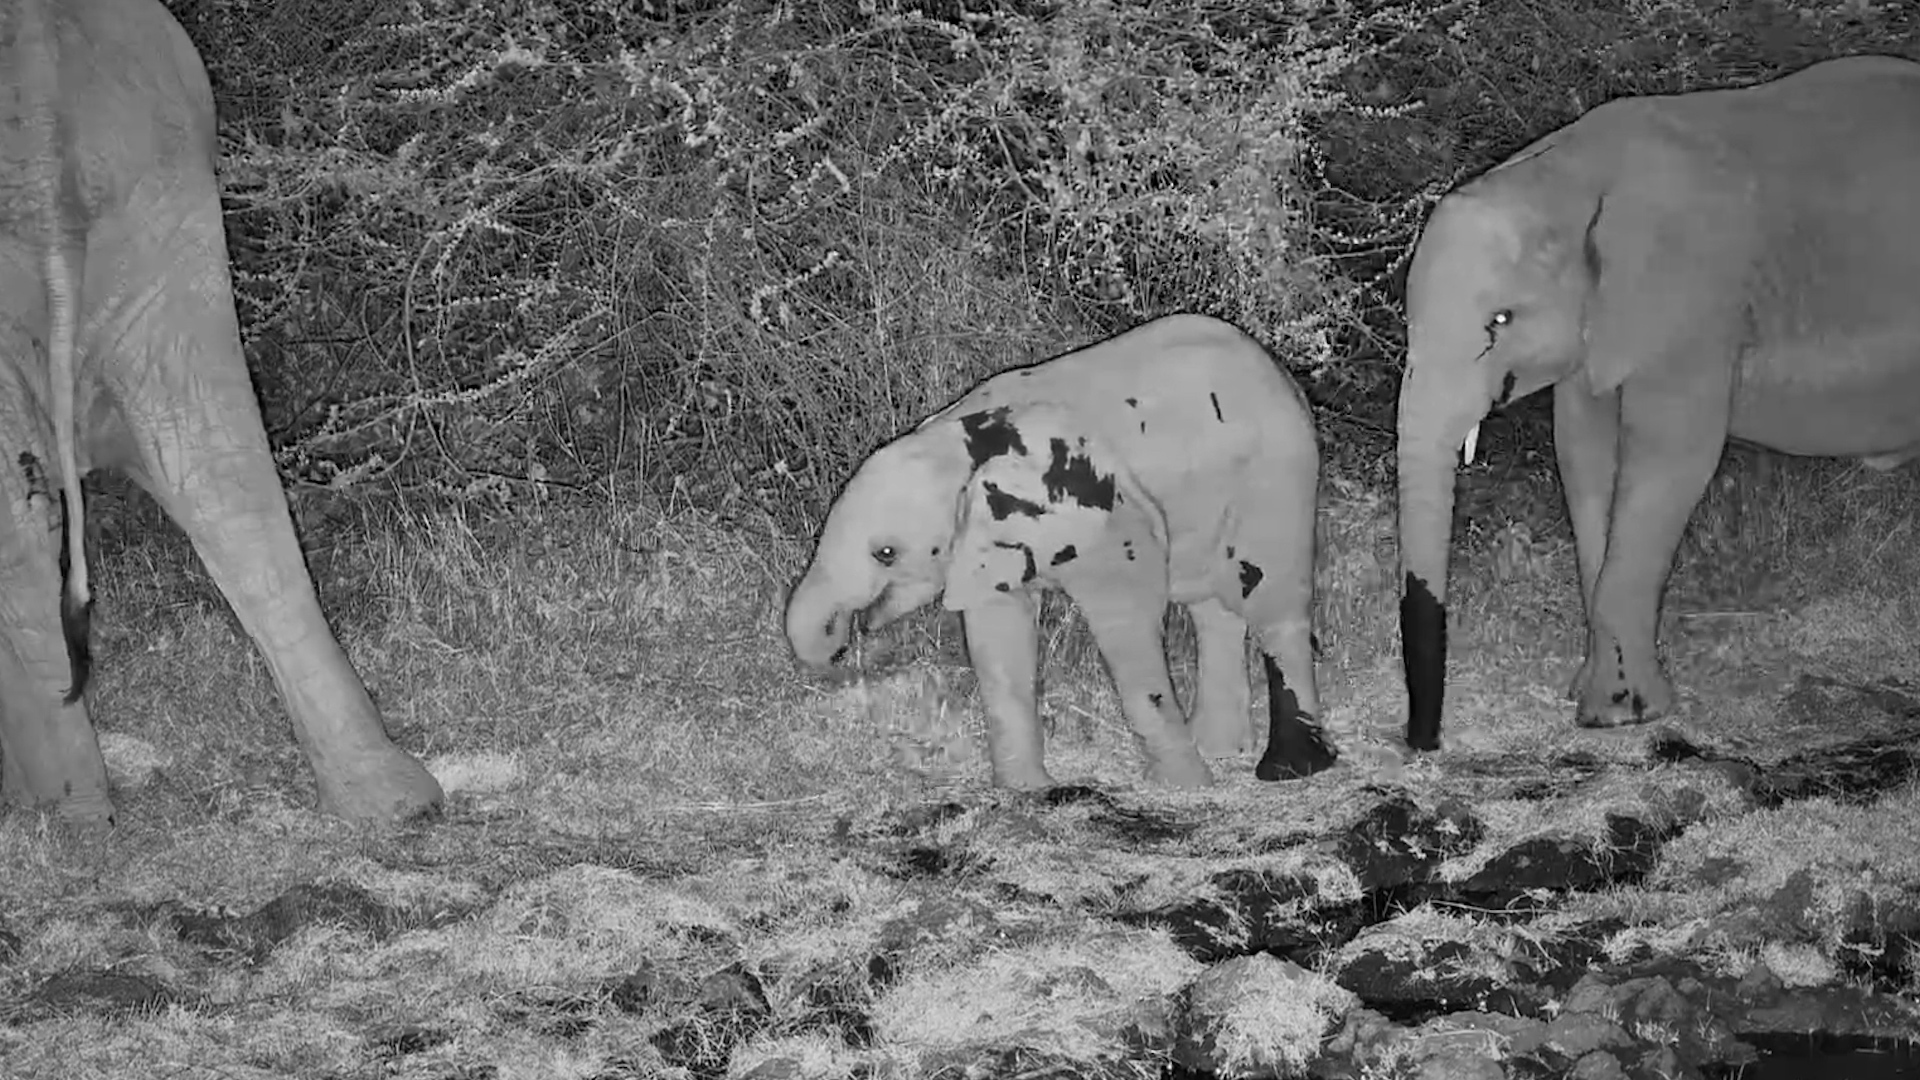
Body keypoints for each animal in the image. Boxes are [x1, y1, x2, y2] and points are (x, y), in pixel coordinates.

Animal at [785, 314, 1337, 789]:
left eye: (885, 552)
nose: (842, 649)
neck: (956, 441)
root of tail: (1282, 375)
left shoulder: (1102, 512)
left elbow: (1127, 621)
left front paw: (1184, 788)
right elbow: (998, 632)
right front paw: (1030, 792)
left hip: (1277, 480)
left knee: (1273, 607)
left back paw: (1289, 770)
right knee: (1213, 610)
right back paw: (1222, 750)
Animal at [1395, 55, 1920, 751]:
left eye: (1500, 320)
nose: (1423, 741)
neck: (1574, 173)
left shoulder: (1691, 308)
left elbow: (1670, 460)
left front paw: (1617, 713)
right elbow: (1584, 457)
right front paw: (1595, 692)